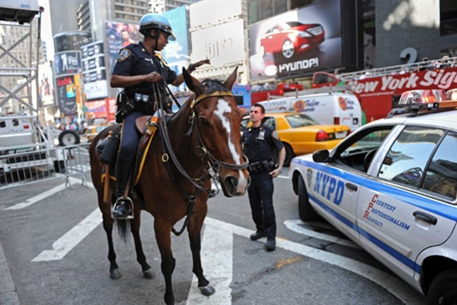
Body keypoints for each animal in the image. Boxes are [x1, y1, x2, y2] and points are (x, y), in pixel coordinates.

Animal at [88, 67, 249, 302]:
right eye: (203, 121)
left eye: (240, 116)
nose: (238, 181)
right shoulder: (162, 223)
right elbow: (168, 263)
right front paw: (170, 298)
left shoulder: (198, 212)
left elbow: (195, 247)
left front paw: (202, 281)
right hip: (103, 196)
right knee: (108, 226)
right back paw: (114, 266)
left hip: (134, 203)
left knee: (135, 228)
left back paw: (144, 265)